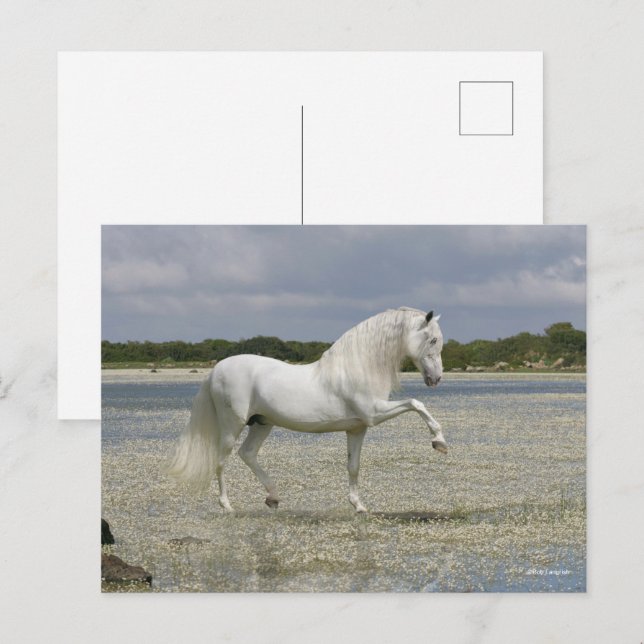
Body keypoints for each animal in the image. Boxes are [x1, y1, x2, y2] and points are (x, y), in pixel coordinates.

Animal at [167, 307, 447, 513]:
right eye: (432, 339)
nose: (436, 379)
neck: (357, 367)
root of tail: (216, 370)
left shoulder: (358, 428)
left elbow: (353, 466)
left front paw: (358, 506)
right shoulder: (374, 413)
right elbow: (416, 403)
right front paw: (439, 441)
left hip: (262, 423)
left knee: (247, 454)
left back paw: (273, 497)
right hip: (231, 426)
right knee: (222, 460)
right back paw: (227, 506)